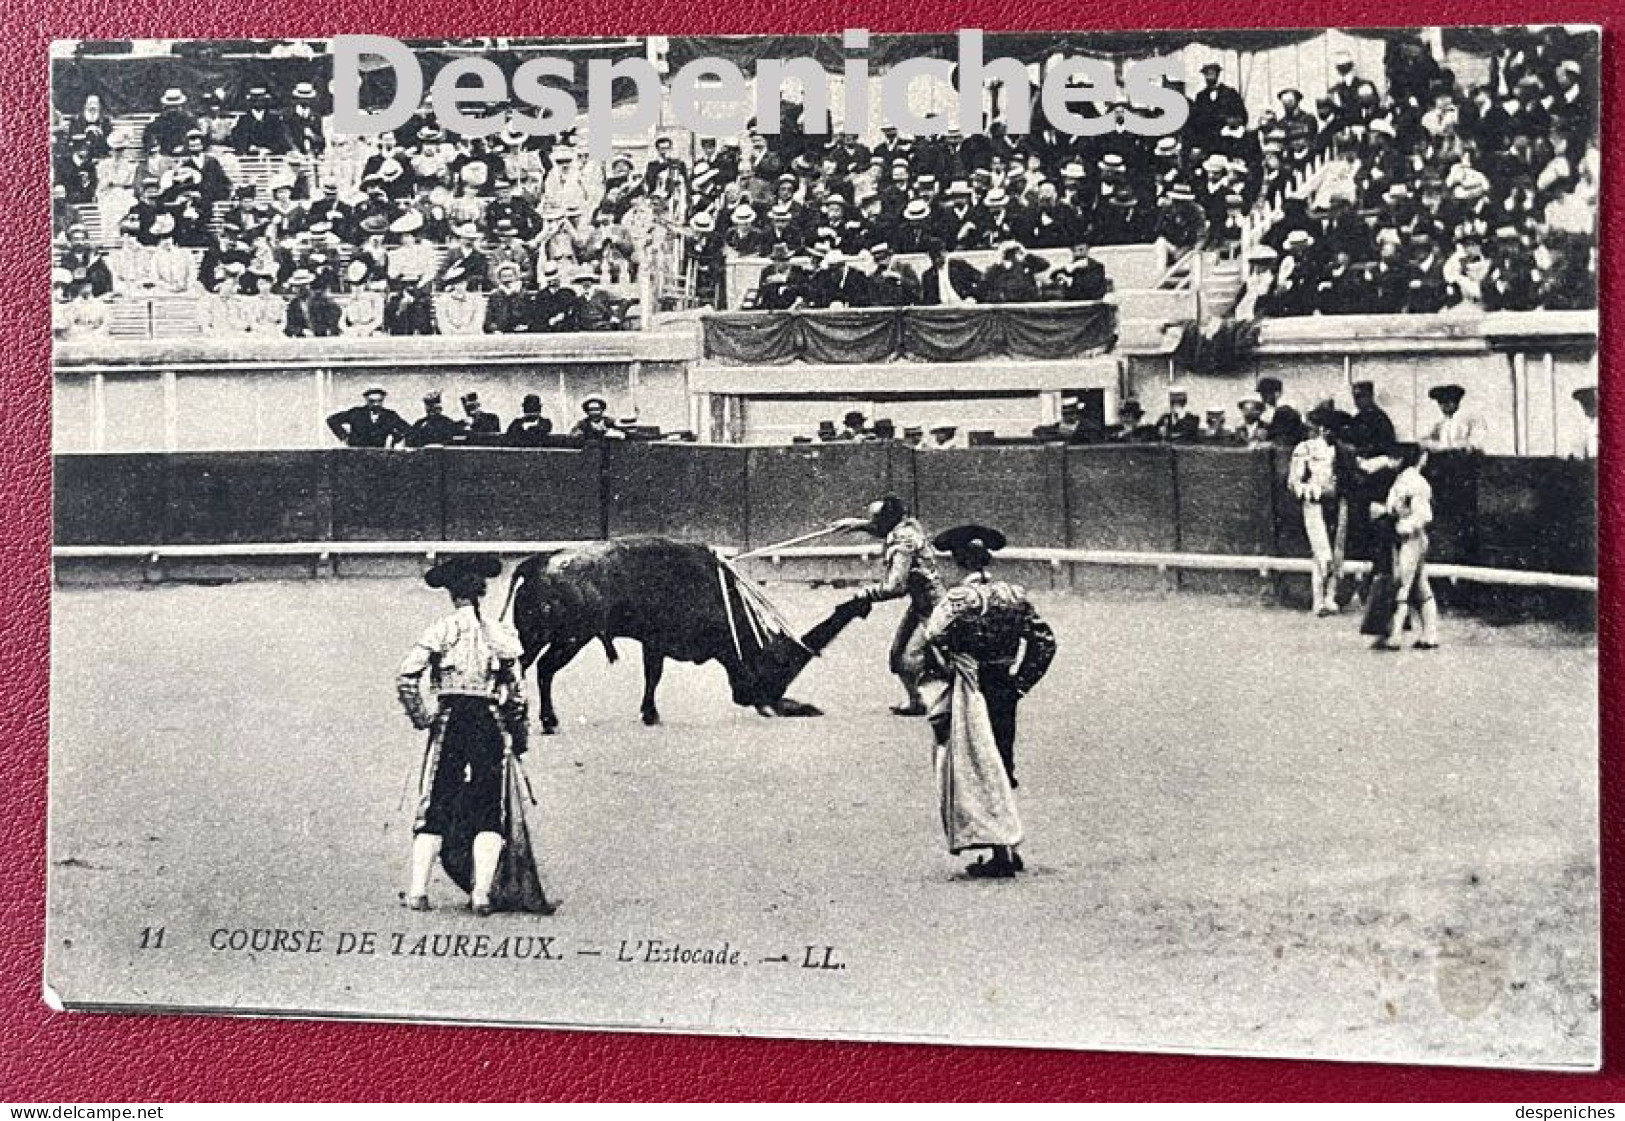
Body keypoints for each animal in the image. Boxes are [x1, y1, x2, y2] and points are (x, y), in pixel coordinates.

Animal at [507, 536, 871, 727]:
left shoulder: (653, 642)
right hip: (569, 639)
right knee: (544, 669)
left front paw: (649, 713)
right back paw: (548, 720)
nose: (765, 702)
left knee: (521, 666)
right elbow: (655, 675)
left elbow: (652, 675)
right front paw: (651, 715)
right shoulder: (662, 642)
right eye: (775, 667)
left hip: (534, 637)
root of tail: (535, 564)